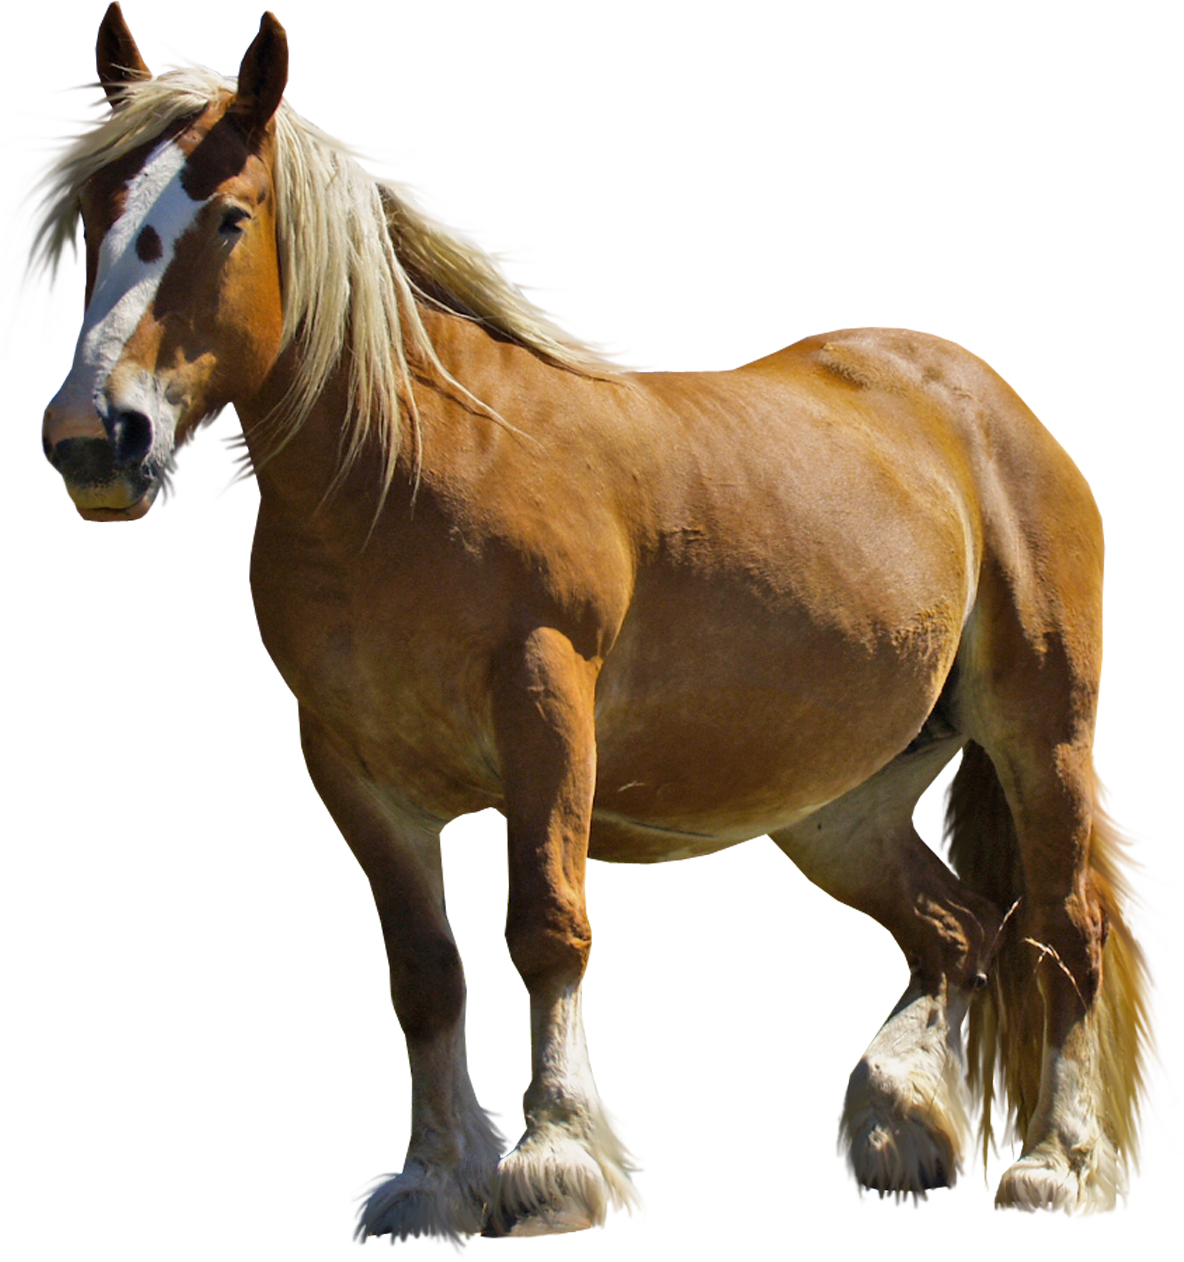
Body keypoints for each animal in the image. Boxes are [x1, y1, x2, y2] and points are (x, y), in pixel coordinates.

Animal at [20, 3, 1167, 1246]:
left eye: (228, 217)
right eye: (96, 213)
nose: (94, 436)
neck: (405, 469)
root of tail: (979, 401)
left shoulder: (543, 702)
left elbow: (545, 925)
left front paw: (551, 1158)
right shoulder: (357, 762)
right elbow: (421, 965)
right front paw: (432, 1175)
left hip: (1037, 737)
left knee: (1060, 935)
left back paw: (1050, 1161)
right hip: (843, 803)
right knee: (959, 930)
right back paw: (898, 1120)